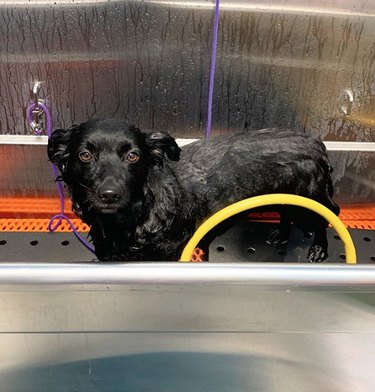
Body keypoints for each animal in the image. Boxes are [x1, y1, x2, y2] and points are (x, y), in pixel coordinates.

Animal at [47, 118, 340, 262]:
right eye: (85, 155)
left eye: (133, 156)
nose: (109, 194)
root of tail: (316, 143)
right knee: (286, 213)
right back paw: (280, 234)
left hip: (309, 204)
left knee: (327, 217)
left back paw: (319, 250)